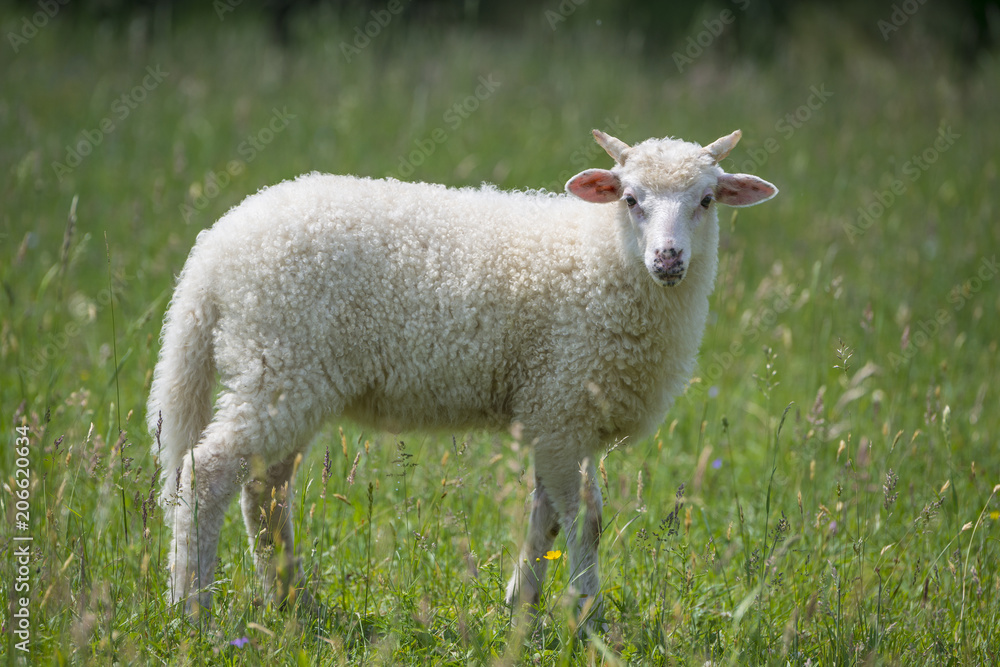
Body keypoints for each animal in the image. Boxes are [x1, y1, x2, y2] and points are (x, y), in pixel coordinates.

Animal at [145, 128, 776, 620]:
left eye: (707, 200)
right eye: (629, 199)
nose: (669, 258)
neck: (603, 258)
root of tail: (213, 252)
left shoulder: (555, 411)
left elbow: (549, 515)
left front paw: (522, 604)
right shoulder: (563, 404)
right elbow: (586, 519)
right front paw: (586, 614)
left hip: (284, 378)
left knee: (264, 490)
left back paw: (291, 600)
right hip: (277, 364)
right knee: (207, 475)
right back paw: (192, 608)